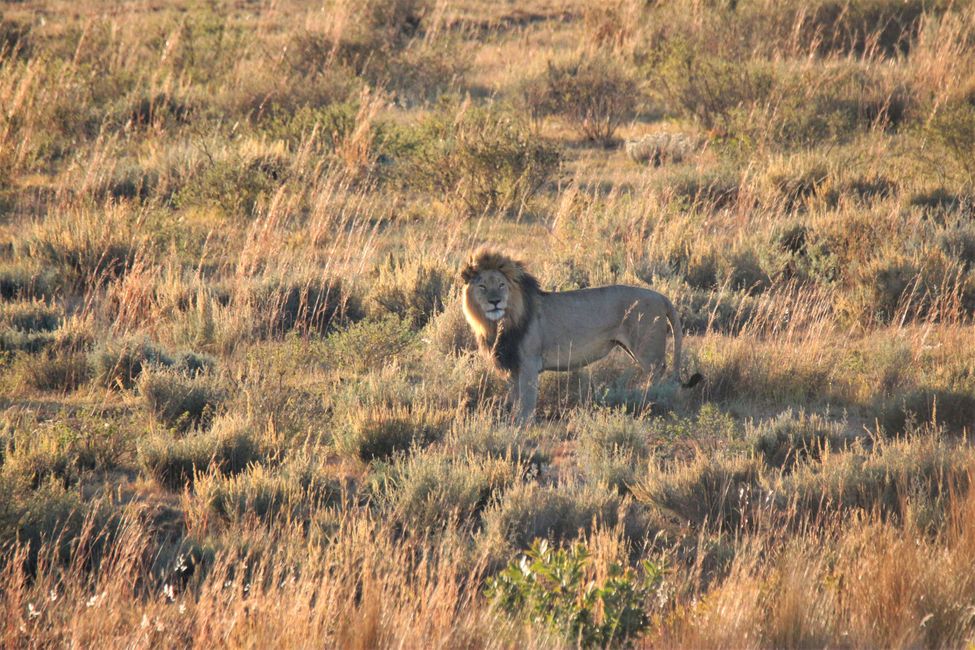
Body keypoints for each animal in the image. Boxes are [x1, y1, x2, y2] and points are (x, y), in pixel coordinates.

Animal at [464, 246, 700, 422]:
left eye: (501, 285)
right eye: (482, 286)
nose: (495, 301)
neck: (497, 323)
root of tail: (661, 296)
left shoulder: (529, 363)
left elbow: (527, 401)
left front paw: (522, 426)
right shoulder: (513, 366)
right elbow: (516, 399)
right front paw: (513, 421)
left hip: (647, 350)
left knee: (659, 374)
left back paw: (654, 400)